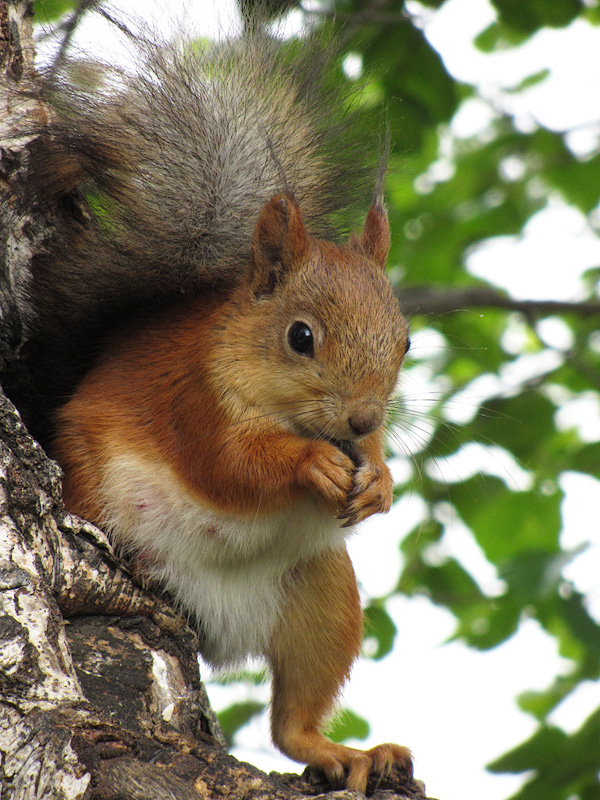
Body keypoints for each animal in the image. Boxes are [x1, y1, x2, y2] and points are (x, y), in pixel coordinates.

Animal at [19, 10, 412, 792]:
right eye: (300, 337)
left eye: (407, 342)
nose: (361, 419)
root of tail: (223, 625)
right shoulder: (192, 401)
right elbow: (230, 466)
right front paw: (311, 463)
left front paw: (379, 481)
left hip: (322, 597)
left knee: (293, 723)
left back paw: (347, 754)